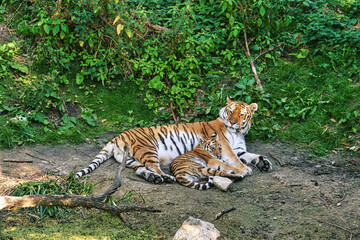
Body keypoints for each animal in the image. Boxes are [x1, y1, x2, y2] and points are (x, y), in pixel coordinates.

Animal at [76, 96, 272, 183]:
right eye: (230, 111)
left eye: (242, 114)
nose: (232, 121)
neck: (238, 132)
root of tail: (117, 136)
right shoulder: (226, 147)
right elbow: (234, 160)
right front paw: (245, 170)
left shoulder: (240, 148)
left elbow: (250, 155)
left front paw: (264, 163)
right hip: (148, 149)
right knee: (153, 166)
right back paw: (166, 177)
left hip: (131, 159)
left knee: (141, 170)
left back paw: (154, 178)